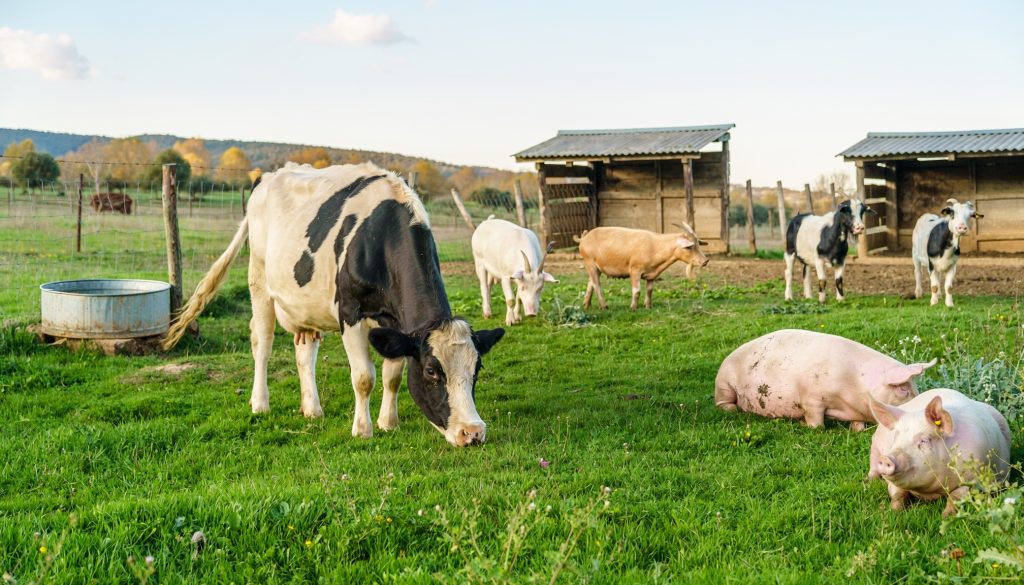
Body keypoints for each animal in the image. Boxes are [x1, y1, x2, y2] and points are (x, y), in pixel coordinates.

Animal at [162, 163, 505, 447]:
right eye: (433, 371)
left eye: (477, 368)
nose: (472, 433)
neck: (380, 235)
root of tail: (269, 176)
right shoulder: (350, 312)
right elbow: (364, 377)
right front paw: (362, 430)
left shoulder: (396, 324)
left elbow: (392, 374)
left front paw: (388, 422)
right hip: (258, 280)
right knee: (263, 345)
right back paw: (260, 403)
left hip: (305, 306)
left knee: (305, 353)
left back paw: (312, 408)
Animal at [575, 223, 709, 311]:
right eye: (689, 247)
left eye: (698, 244)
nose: (705, 261)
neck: (655, 246)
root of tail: (584, 238)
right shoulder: (635, 270)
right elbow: (637, 290)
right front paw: (633, 308)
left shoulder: (652, 274)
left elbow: (650, 290)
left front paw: (648, 306)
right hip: (589, 263)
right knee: (597, 285)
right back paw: (604, 306)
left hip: (596, 268)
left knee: (590, 284)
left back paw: (586, 305)